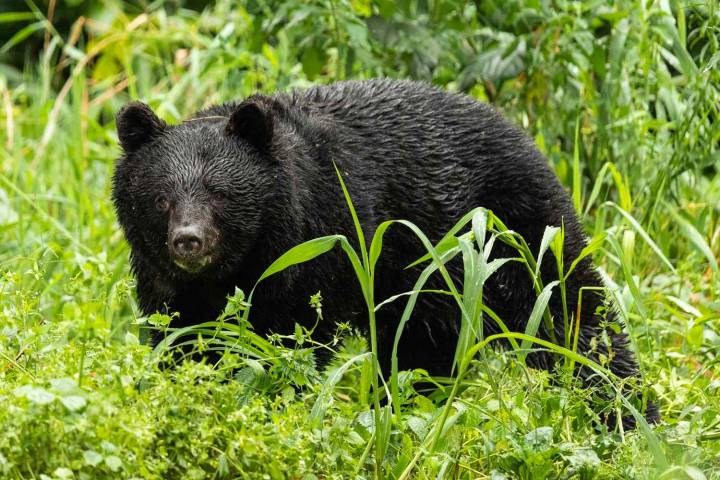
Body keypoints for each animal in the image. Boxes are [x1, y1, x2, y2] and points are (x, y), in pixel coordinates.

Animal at [112, 78, 658, 426]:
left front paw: (276, 401)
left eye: (220, 194)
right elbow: (181, 338)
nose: (188, 240)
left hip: (516, 232)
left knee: (573, 314)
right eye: (161, 197)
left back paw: (630, 417)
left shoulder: (322, 245)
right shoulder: (170, 285)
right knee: (420, 350)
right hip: (432, 281)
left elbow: (293, 340)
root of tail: (527, 136)